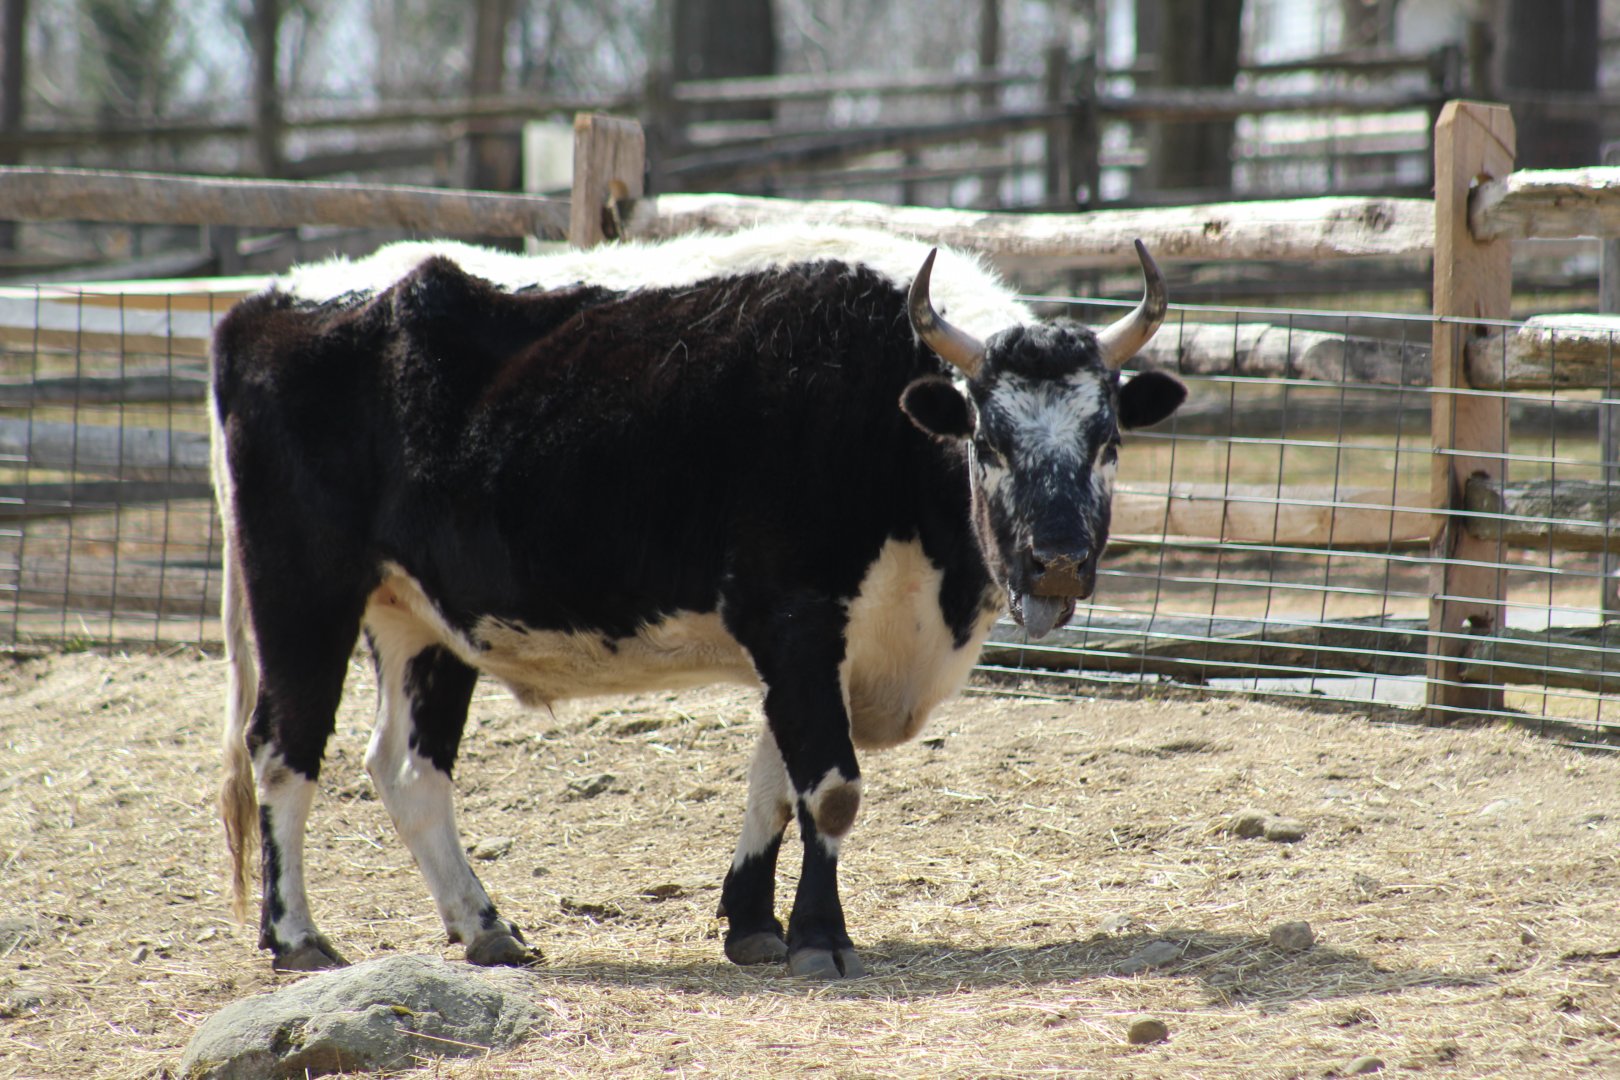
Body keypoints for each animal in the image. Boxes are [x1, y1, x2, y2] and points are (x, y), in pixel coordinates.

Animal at [212, 225, 1185, 979]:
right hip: (302, 591)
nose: (1058, 561)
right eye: (989, 441)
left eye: (1107, 439)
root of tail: (274, 297)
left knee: (408, 769)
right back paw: (296, 936)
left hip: (420, 620)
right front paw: (820, 939)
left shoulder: (824, 645)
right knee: (282, 750)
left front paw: (753, 923)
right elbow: (830, 789)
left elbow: (777, 787)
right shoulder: (795, 617)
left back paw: (487, 929)